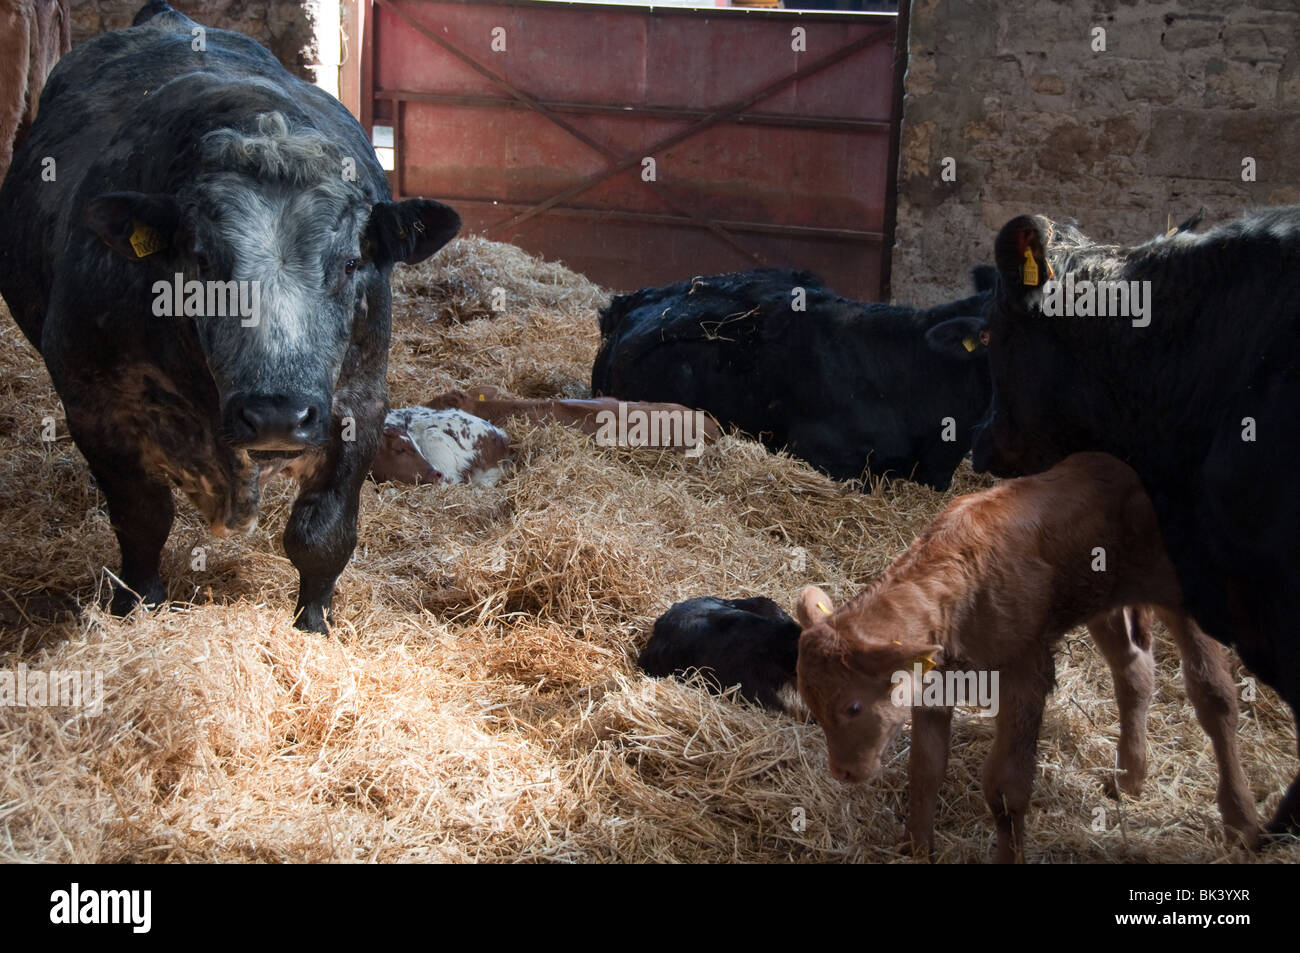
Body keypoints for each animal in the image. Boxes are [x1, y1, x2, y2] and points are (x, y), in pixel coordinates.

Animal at [0, 7, 462, 634]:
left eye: (350, 263)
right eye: (201, 261)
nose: (276, 415)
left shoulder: (361, 402)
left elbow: (322, 534)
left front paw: (314, 625)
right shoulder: (95, 404)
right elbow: (141, 519)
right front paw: (138, 603)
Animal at [790, 449, 1258, 858]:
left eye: (852, 707)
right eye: (812, 704)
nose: (843, 771)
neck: (961, 590)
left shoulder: (1025, 673)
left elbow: (1005, 786)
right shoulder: (933, 687)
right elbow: (925, 770)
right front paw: (917, 849)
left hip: (1178, 591)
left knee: (1214, 696)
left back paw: (1241, 821)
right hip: (1099, 601)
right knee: (1134, 673)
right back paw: (1130, 777)